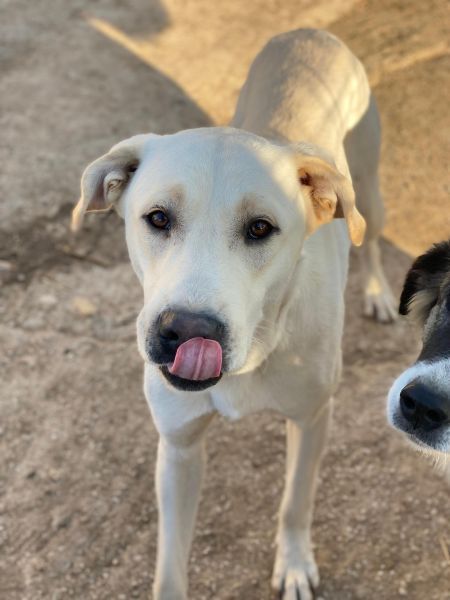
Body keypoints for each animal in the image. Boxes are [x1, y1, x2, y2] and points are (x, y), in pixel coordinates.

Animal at [72, 29, 395, 600]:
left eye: (261, 228)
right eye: (157, 218)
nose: (187, 332)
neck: (262, 343)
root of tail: (311, 32)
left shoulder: (313, 418)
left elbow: (295, 502)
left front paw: (294, 563)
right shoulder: (177, 448)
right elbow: (169, 567)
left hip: (368, 192)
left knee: (371, 238)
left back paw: (378, 289)